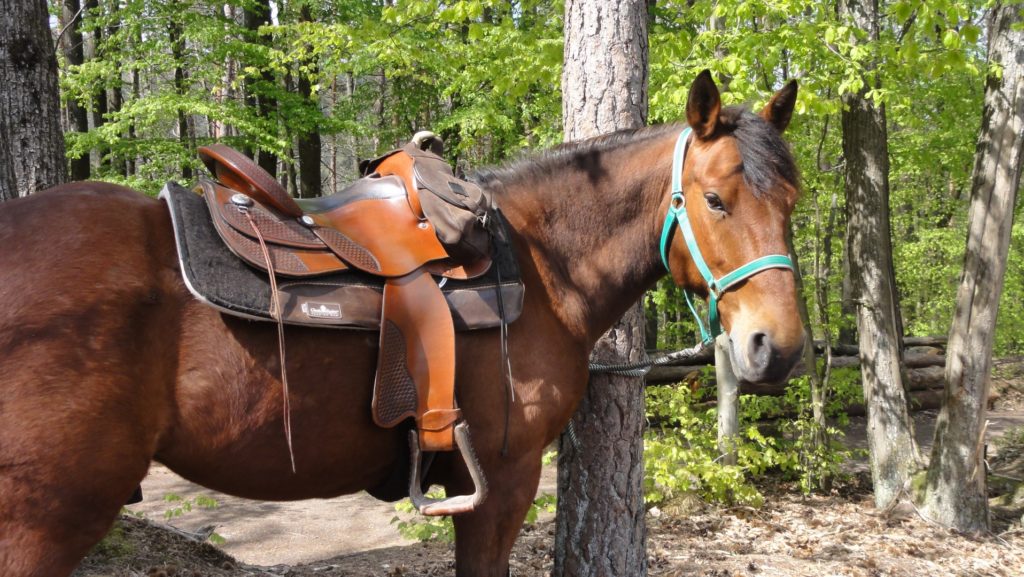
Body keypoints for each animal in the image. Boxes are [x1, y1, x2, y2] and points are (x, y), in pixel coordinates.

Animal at [0, 70, 798, 573]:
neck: (542, 265)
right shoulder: (501, 482)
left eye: (792, 200)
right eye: (716, 200)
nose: (778, 348)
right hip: (43, 517)